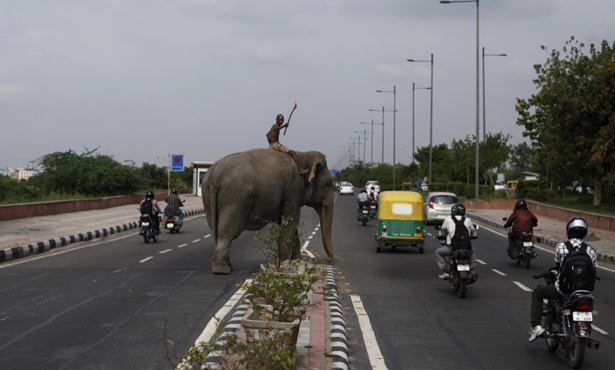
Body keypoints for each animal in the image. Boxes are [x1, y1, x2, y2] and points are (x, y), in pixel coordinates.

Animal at [202, 148, 334, 274]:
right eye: (328, 183)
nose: (326, 260)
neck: (304, 155)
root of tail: (216, 176)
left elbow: (287, 222)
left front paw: (297, 260)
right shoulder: (295, 188)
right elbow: (291, 221)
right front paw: (286, 261)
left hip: (208, 197)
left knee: (216, 231)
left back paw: (227, 267)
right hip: (234, 198)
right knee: (227, 233)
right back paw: (222, 270)